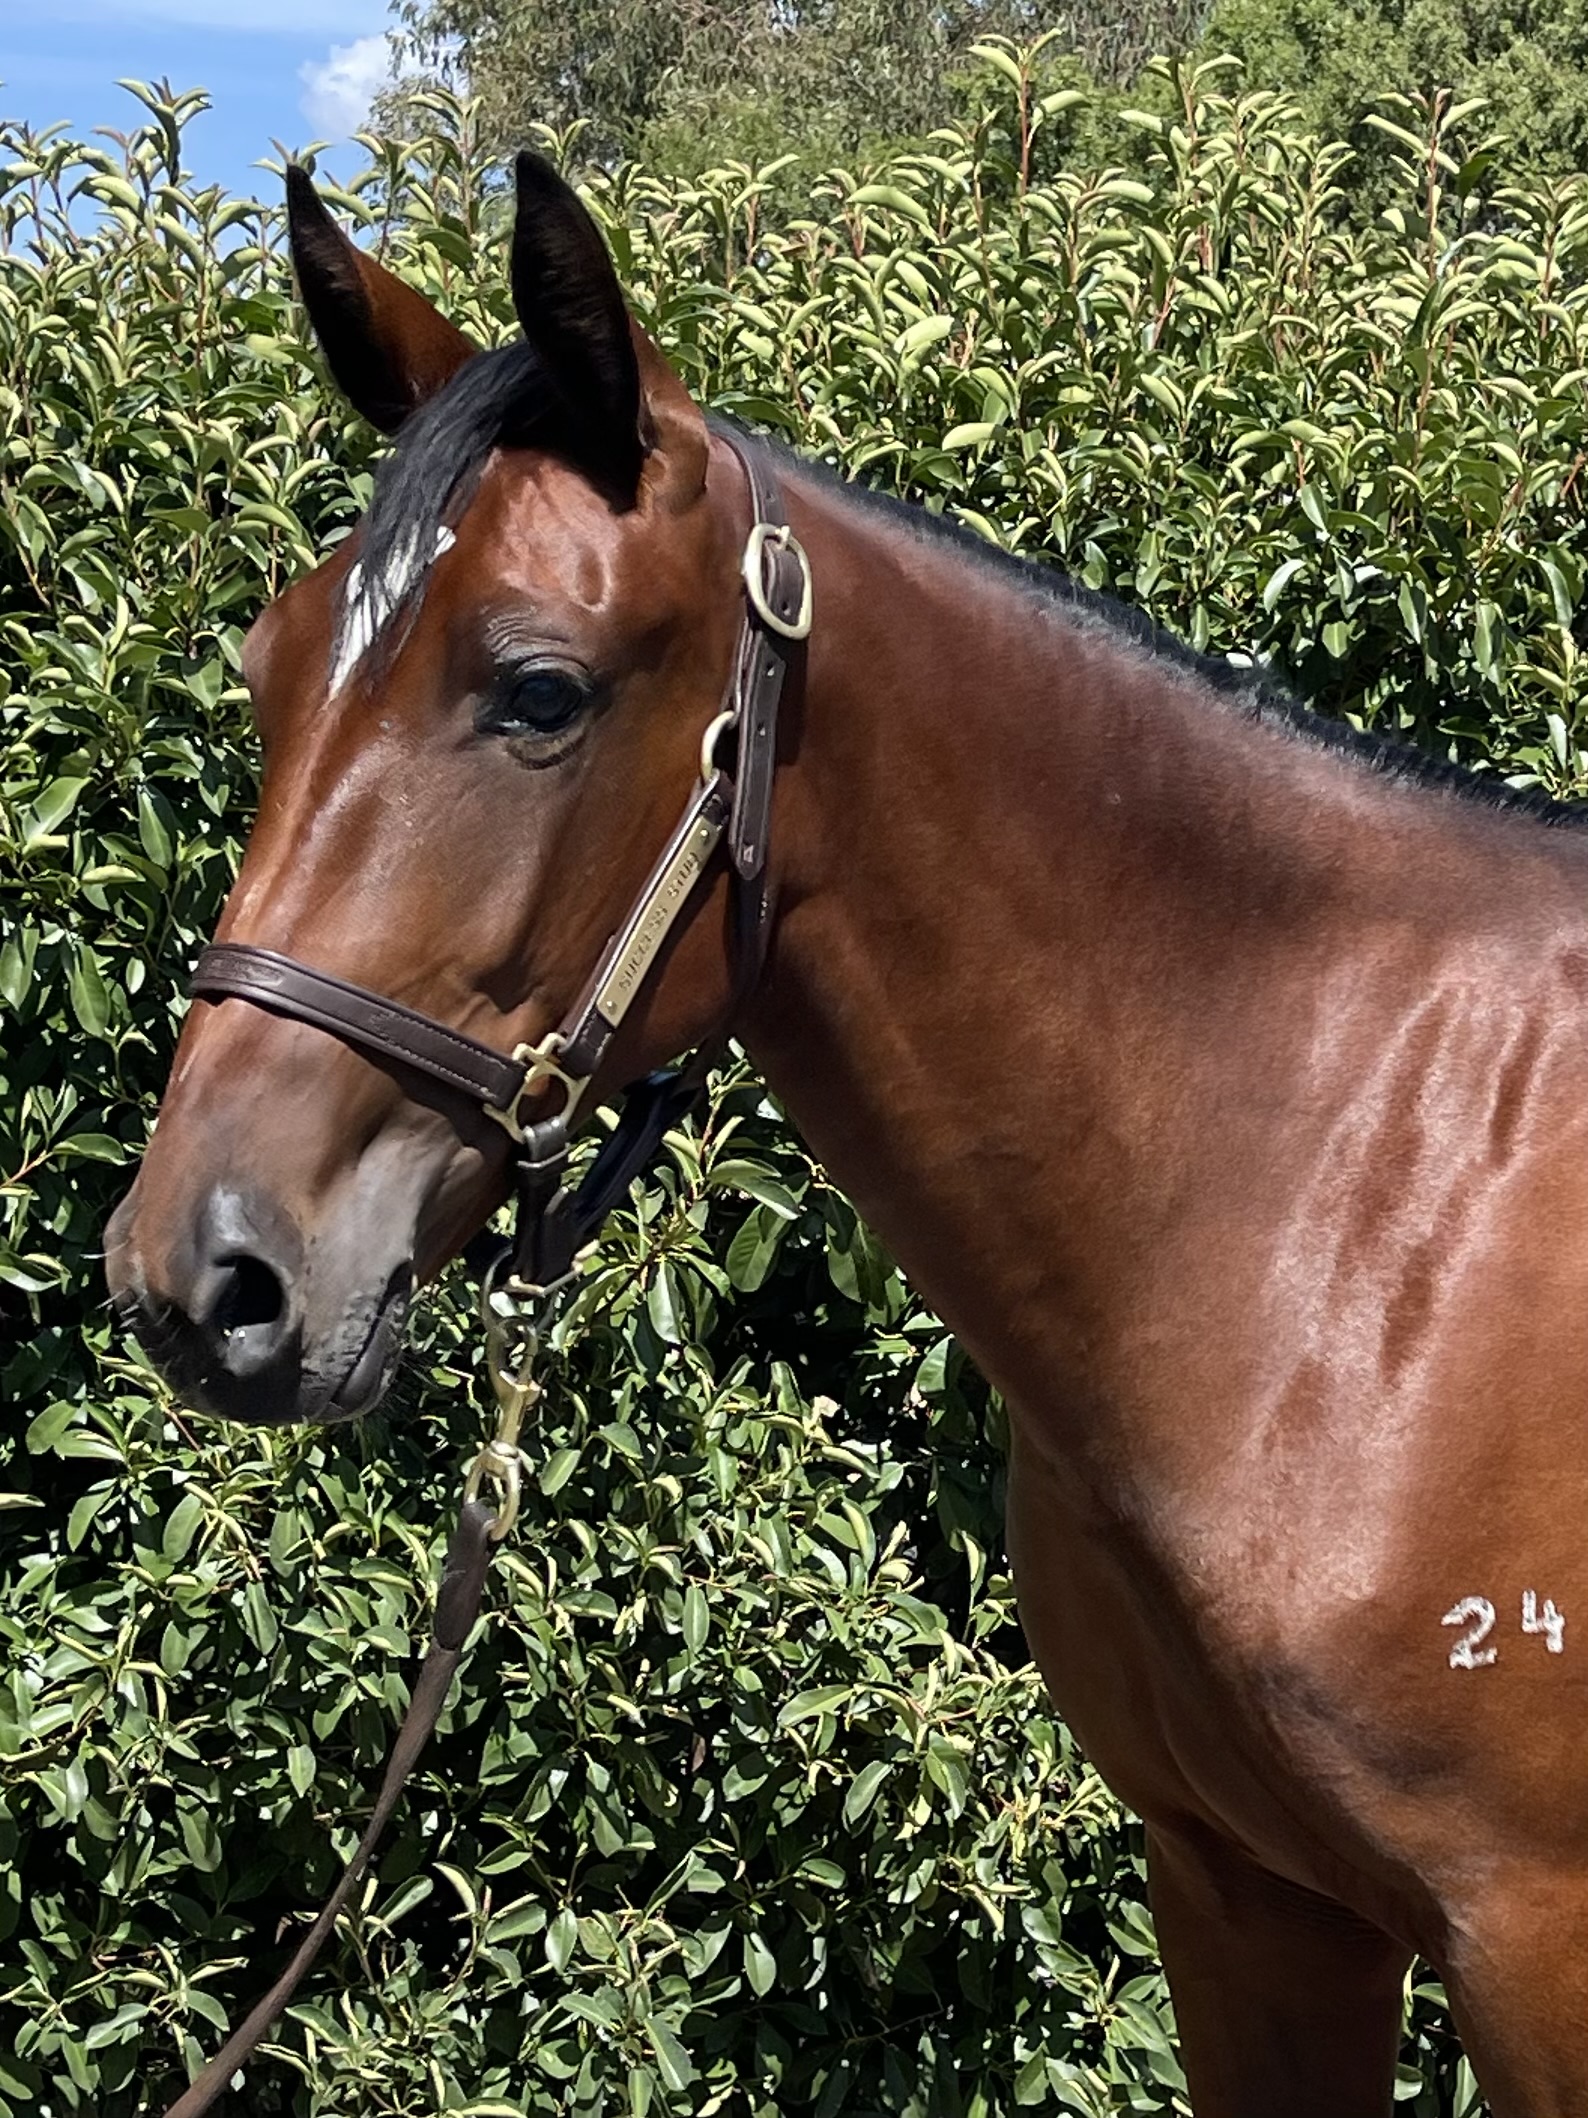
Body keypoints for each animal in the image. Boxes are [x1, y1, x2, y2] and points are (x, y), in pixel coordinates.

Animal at [104, 152, 1588, 2116]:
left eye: (539, 690)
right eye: (271, 673)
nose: (198, 1272)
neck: (1361, 1203)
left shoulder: (1538, 1946)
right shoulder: (1246, 1900)